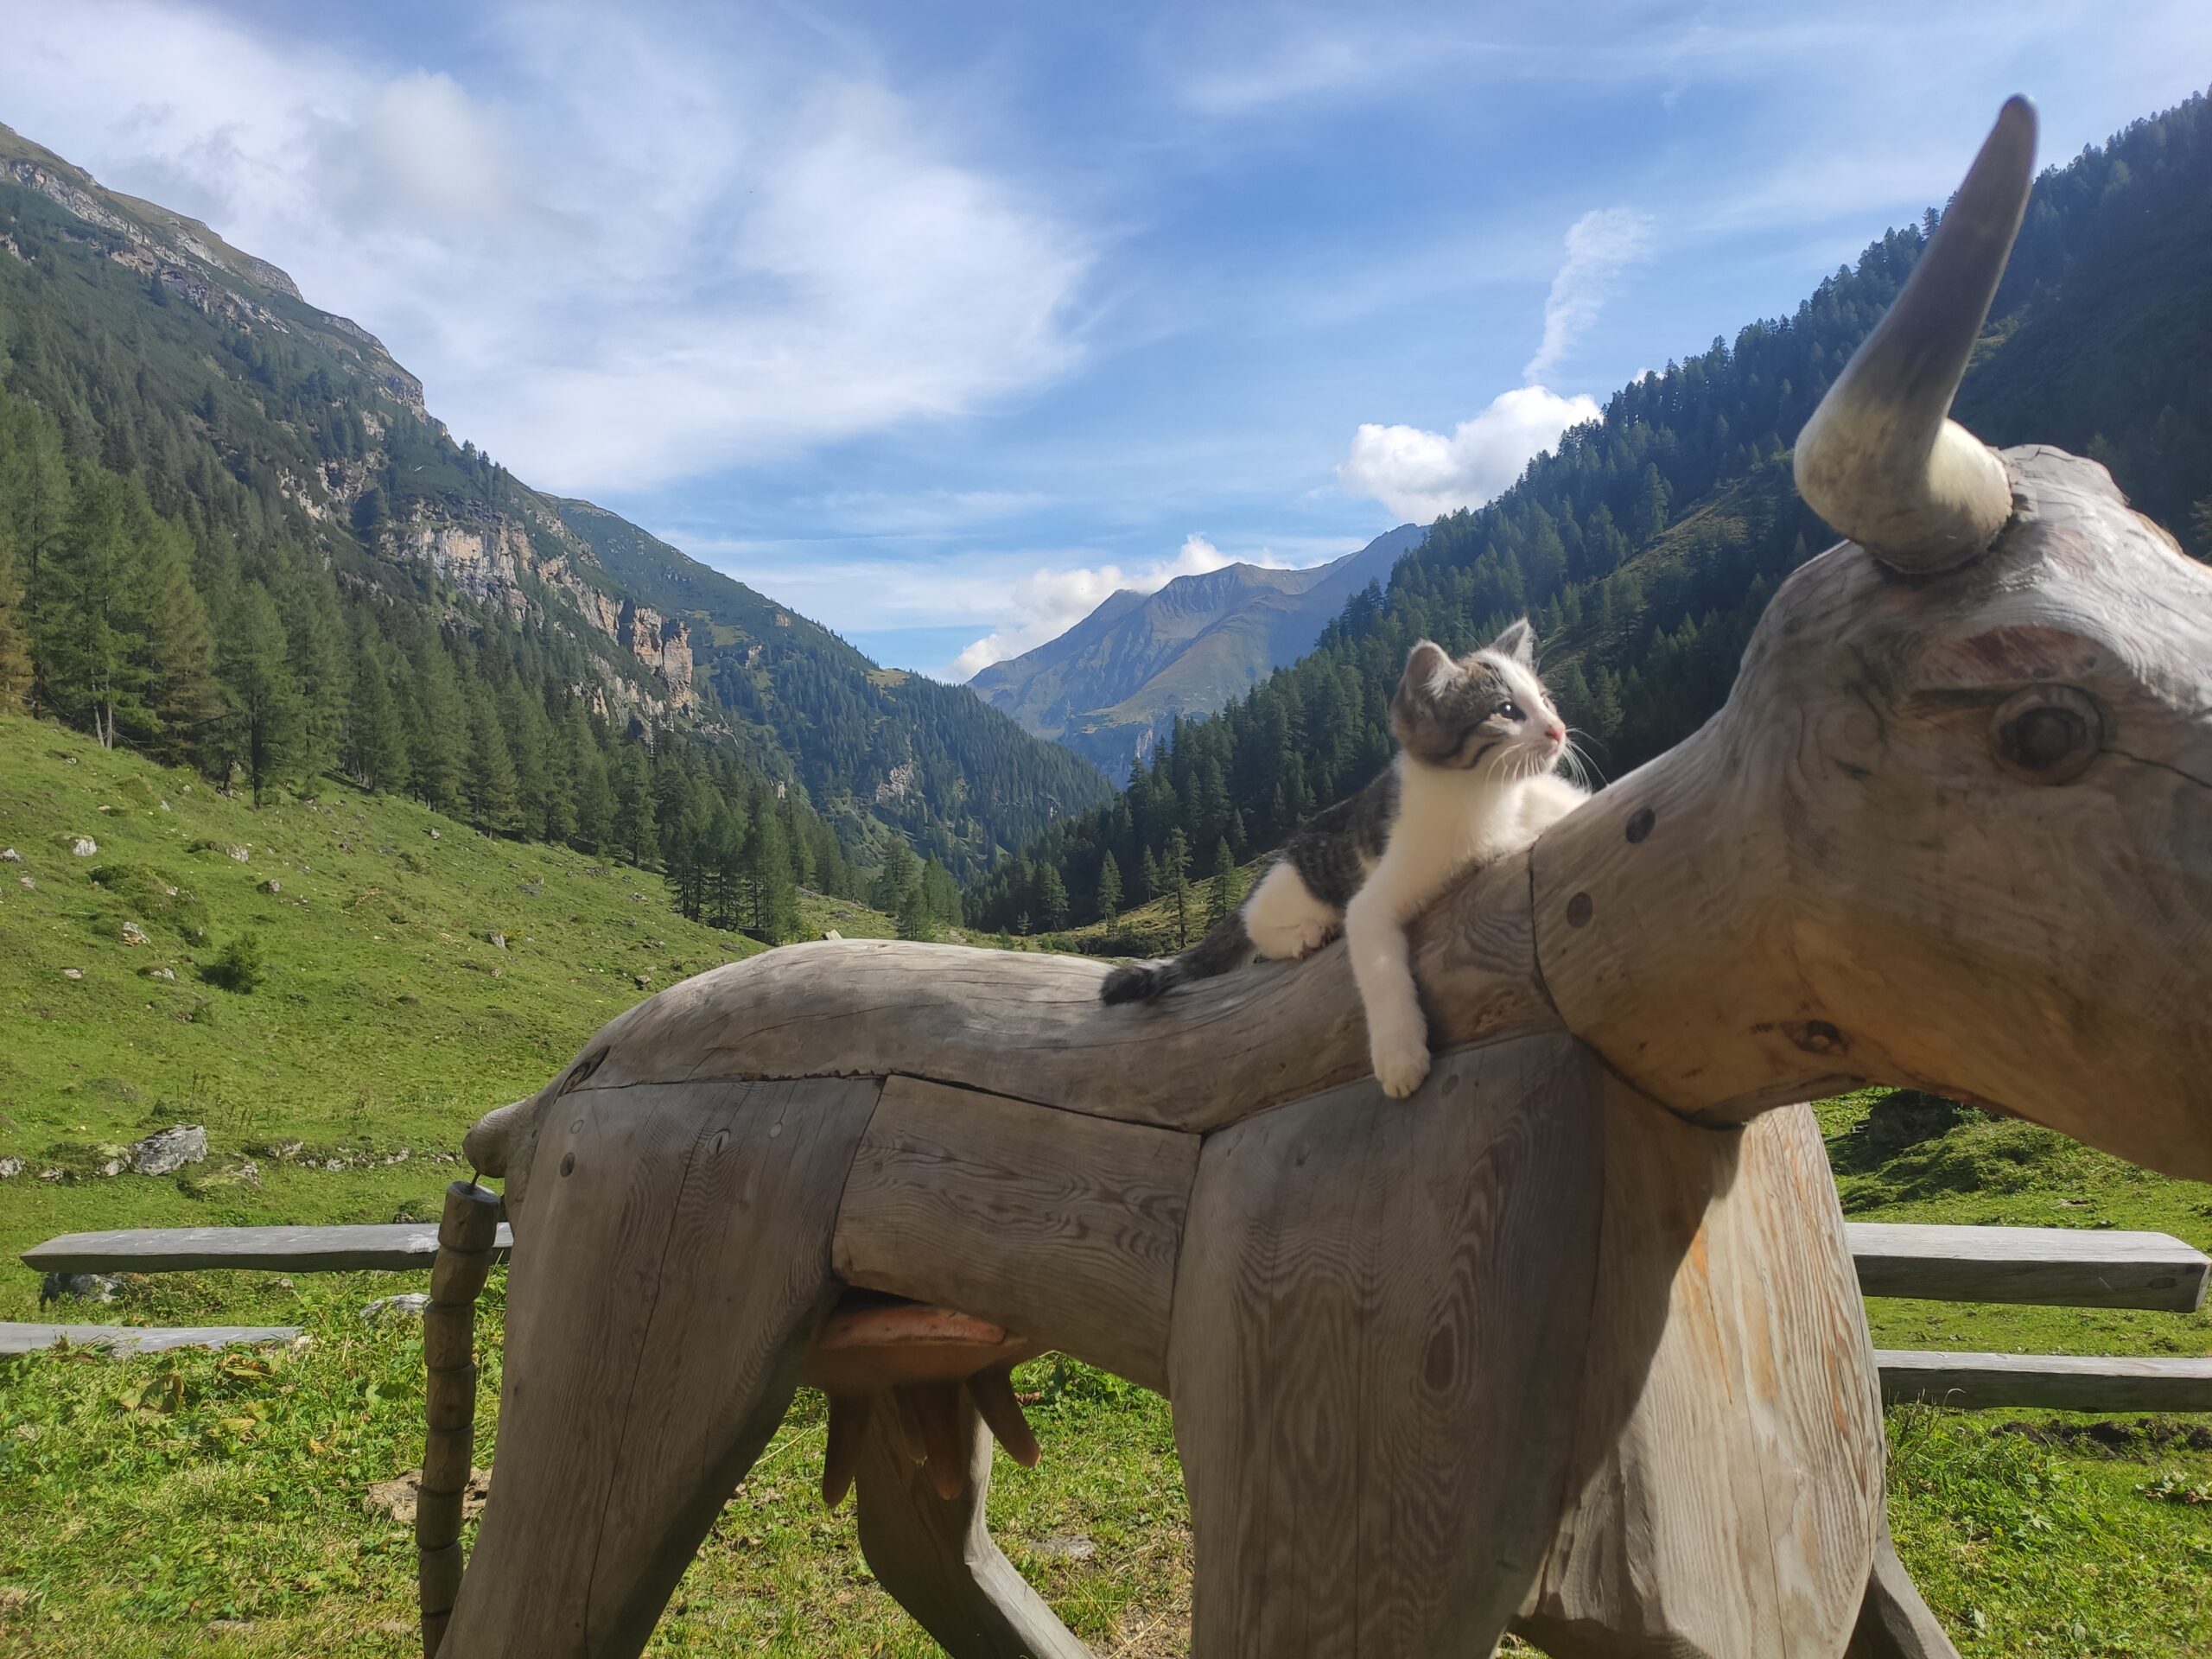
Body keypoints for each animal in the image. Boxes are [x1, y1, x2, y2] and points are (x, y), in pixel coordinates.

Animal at [1096, 623, 1583, 1106]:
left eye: (1545, 699)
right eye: (1506, 710)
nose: (1558, 729)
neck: (1496, 799)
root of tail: (1282, 856)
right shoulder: (1372, 900)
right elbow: (1380, 968)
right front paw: (1399, 1056)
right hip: (1298, 883)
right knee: (1255, 921)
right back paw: (1305, 934)